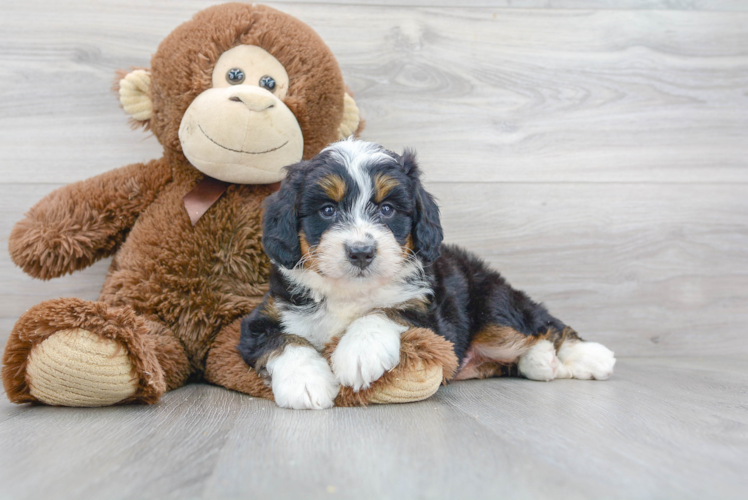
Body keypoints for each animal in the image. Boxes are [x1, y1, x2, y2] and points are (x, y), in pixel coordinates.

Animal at [238, 141, 612, 410]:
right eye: (327, 210)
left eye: (387, 209)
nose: (361, 251)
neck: (351, 290)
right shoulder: (260, 320)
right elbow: (285, 340)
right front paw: (306, 382)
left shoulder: (433, 315)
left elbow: (385, 311)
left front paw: (358, 352)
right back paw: (541, 361)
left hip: (493, 303)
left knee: (542, 325)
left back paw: (587, 356)